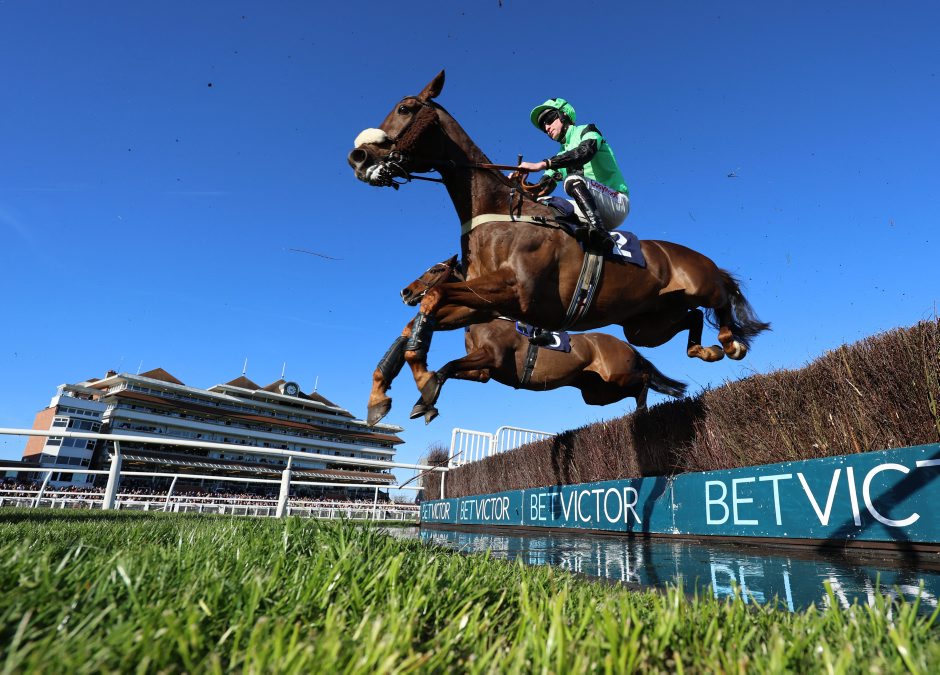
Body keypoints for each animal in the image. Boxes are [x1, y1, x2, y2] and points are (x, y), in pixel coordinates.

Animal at [401, 255, 687, 423]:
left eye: (435, 270)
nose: (406, 291)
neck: (488, 320)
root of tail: (626, 345)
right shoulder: (483, 371)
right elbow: (449, 370)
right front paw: (423, 403)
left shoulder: (492, 356)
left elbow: (447, 366)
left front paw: (426, 400)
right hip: (598, 392)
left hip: (618, 375)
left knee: (645, 378)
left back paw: (643, 409)